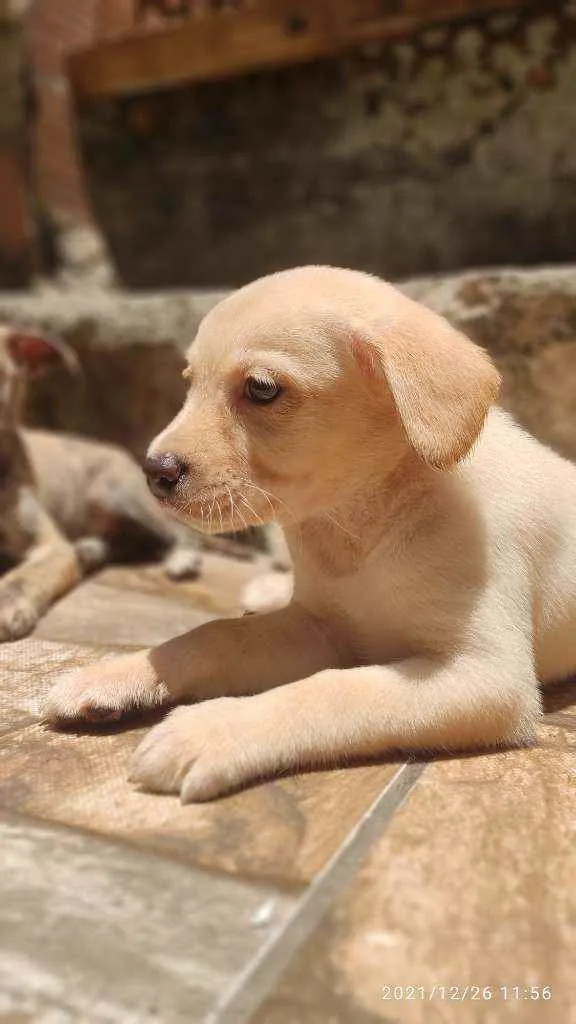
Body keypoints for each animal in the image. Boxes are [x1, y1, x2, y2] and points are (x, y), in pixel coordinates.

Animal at [43, 268, 573, 802]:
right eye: (191, 384)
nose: (153, 472)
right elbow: (215, 636)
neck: (359, 525)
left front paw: (209, 731)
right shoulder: (318, 628)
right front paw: (114, 675)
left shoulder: (487, 676)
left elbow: (336, 690)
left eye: (261, 389)